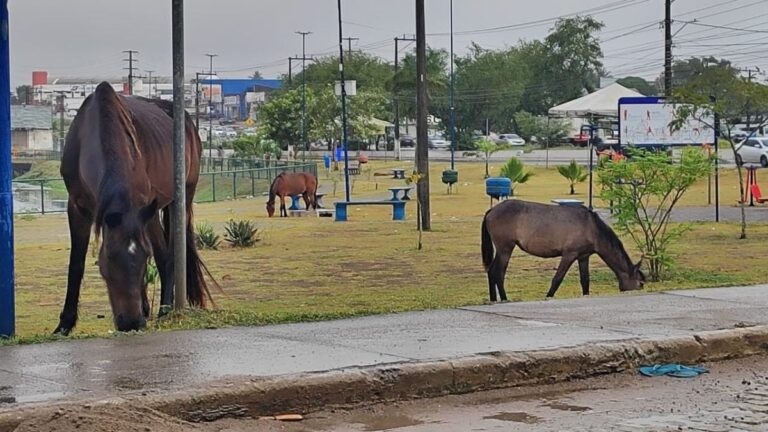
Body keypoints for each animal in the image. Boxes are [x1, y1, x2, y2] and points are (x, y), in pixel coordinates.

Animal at [54, 82, 212, 335]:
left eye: (143, 257)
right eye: (108, 256)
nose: (131, 322)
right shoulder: (77, 208)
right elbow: (76, 265)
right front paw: (64, 324)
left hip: (182, 199)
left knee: (170, 255)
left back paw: (165, 310)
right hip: (153, 214)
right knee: (163, 254)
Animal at [481, 200, 645, 302]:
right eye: (641, 283)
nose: (642, 289)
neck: (592, 227)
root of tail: (492, 210)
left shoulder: (583, 256)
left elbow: (585, 280)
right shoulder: (569, 255)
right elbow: (557, 279)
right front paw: (548, 296)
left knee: (491, 272)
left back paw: (493, 299)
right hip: (505, 249)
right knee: (498, 273)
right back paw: (504, 299)